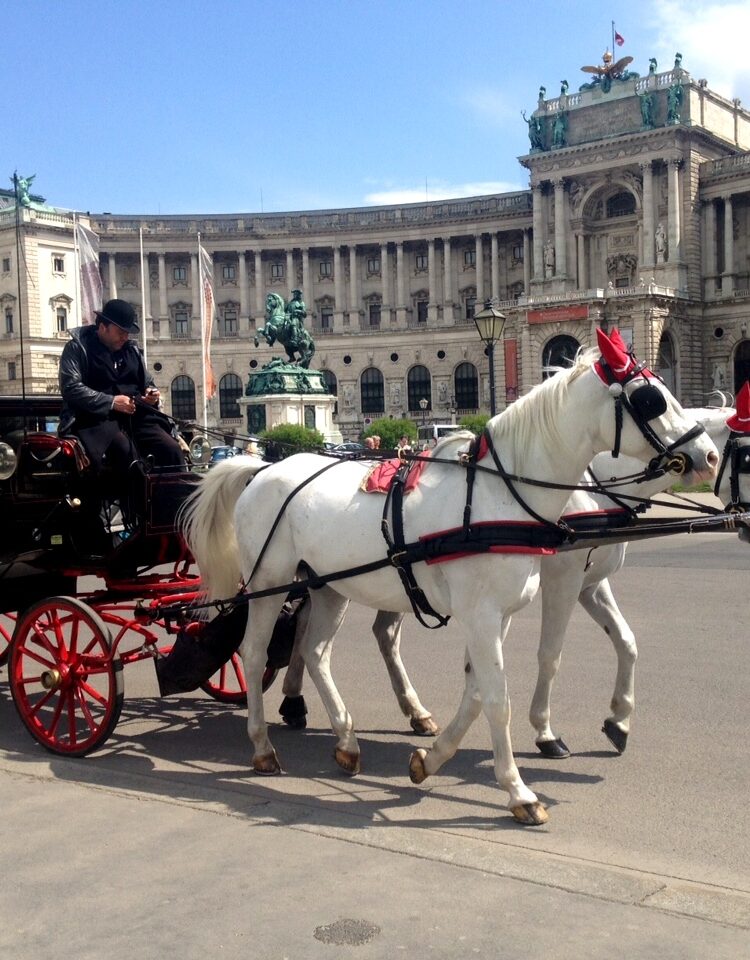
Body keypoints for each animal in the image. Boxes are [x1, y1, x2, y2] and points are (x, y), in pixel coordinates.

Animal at [185, 332, 720, 824]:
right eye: (651, 399)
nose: (709, 456)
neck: (499, 495)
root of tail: (262, 467)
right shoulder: (500, 607)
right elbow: (503, 694)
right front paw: (520, 789)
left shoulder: (501, 613)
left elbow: (480, 691)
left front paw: (431, 758)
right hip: (267, 584)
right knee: (255, 654)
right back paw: (262, 745)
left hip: (330, 584)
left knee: (316, 651)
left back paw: (347, 738)